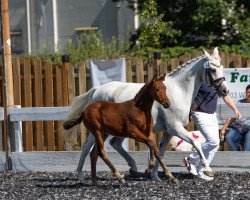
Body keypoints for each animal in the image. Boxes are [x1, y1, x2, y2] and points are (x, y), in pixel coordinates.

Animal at [64, 48, 229, 181]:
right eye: (212, 70)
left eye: (221, 68)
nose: (225, 90)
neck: (178, 91)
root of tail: (97, 90)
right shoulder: (175, 128)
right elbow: (196, 143)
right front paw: (208, 170)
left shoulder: (168, 132)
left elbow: (160, 151)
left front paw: (156, 175)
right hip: (102, 131)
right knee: (87, 147)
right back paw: (80, 175)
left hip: (117, 130)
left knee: (114, 144)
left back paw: (132, 168)